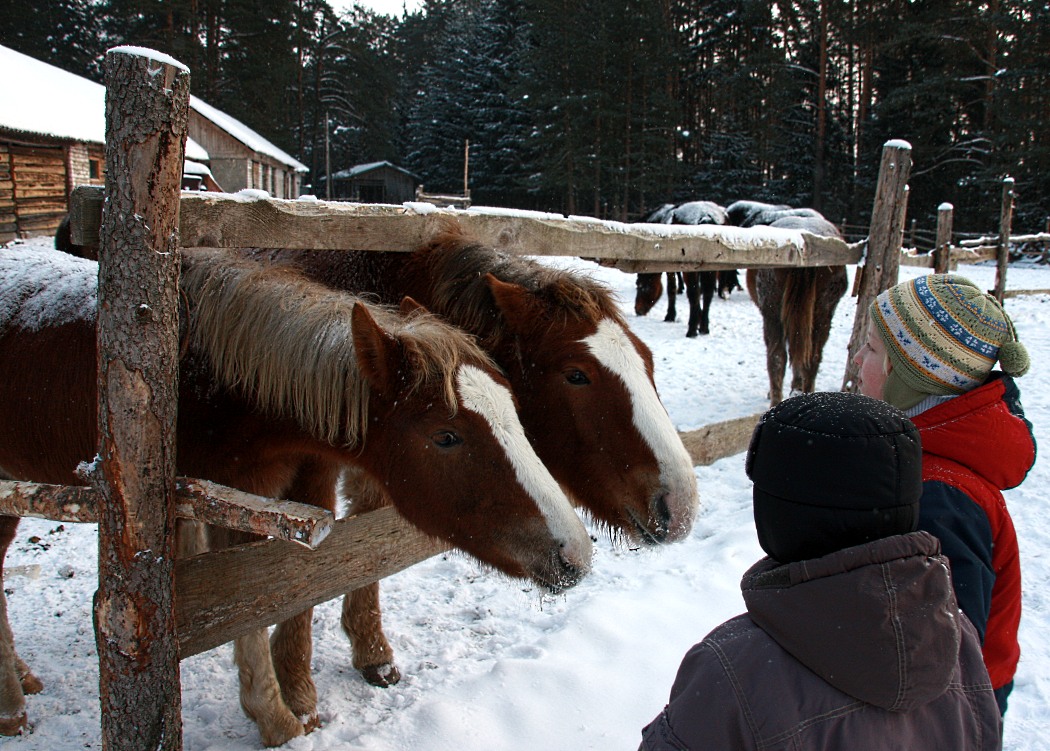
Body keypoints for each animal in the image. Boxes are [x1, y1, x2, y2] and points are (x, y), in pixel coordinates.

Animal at [0, 247, 592, 747]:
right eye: (446, 436)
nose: (574, 554)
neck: (213, 387)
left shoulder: (270, 497)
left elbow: (276, 593)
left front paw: (285, 706)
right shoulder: (227, 504)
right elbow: (247, 605)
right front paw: (279, 719)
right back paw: (12, 708)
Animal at [249, 223, 701, 689]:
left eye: (647, 359)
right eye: (577, 375)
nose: (680, 506)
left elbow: (365, 557)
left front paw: (371, 651)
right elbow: (303, 577)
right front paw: (296, 685)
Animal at [634, 202, 743, 338]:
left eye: (641, 286)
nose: (637, 310)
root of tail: (705, 216)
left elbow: (672, 289)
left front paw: (670, 316)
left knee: (693, 293)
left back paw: (692, 330)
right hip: (711, 268)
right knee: (707, 294)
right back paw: (704, 328)